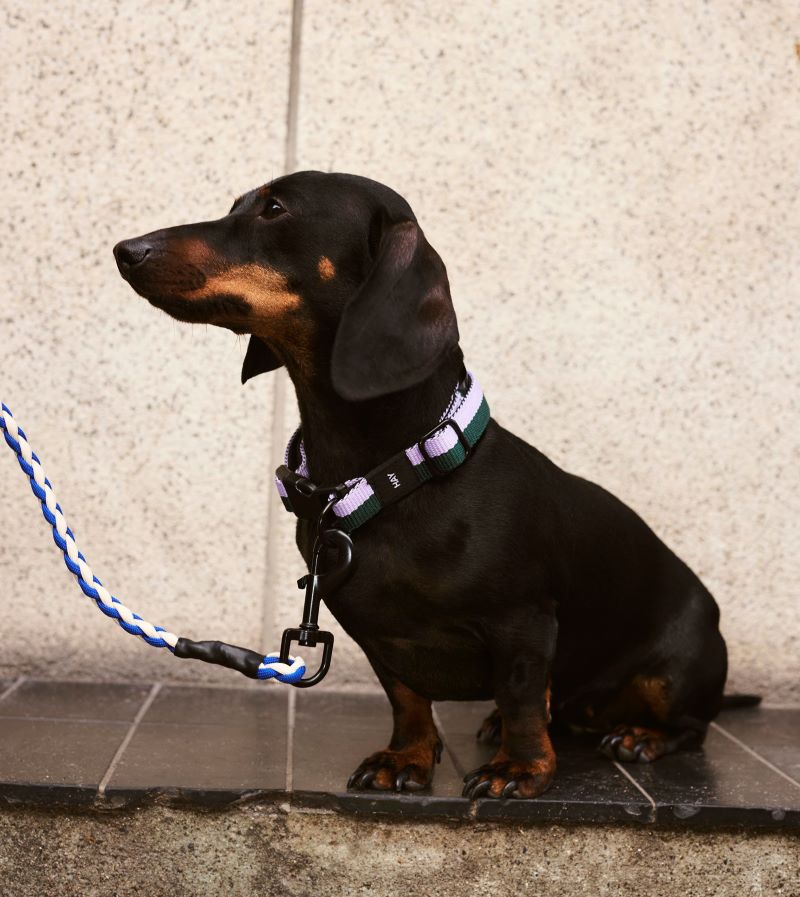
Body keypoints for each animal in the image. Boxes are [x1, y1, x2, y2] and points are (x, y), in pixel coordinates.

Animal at [114, 171, 742, 799]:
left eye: (275, 208)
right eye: (237, 204)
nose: (126, 250)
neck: (397, 472)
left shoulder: (524, 621)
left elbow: (521, 696)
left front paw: (520, 769)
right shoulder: (376, 635)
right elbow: (407, 698)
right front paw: (406, 758)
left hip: (677, 671)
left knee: (690, 726)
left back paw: (640, 736)